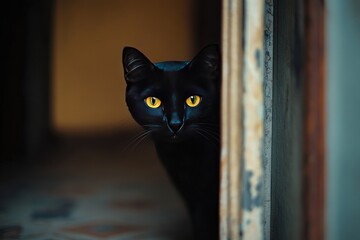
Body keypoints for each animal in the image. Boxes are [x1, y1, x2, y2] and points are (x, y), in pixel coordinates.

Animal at [122, 45, 221, 240]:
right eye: (153, 101)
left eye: (193, 100)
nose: (175, 123)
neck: (183, 156)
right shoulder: (189, 191)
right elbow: (200, 222)